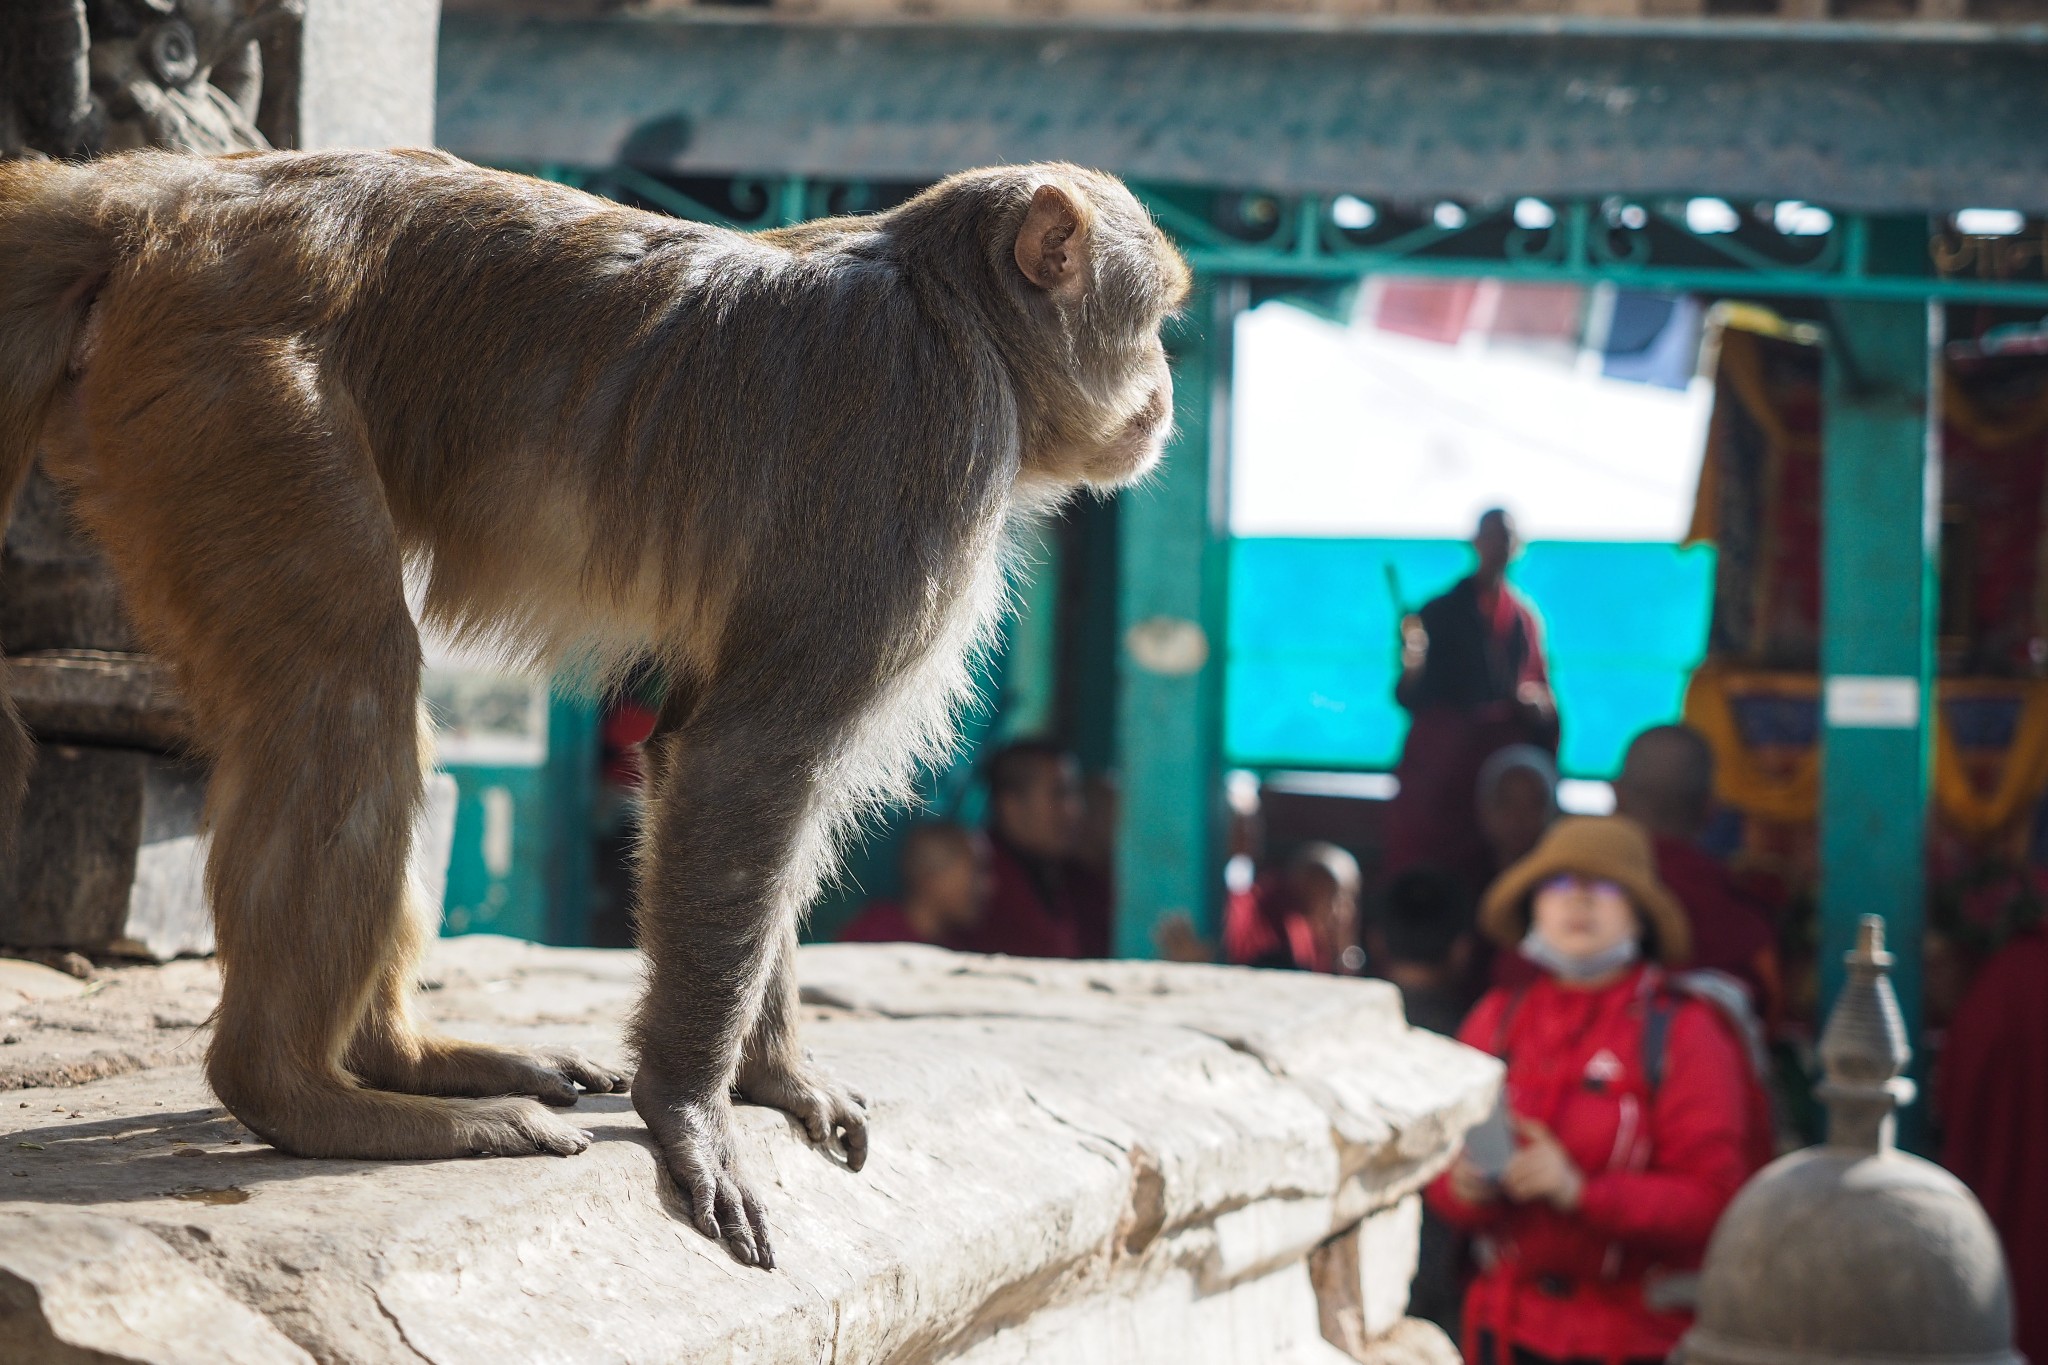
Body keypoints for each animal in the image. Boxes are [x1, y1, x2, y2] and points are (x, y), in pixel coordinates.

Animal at [0, 144, 1196, 1268]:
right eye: (1155, 319)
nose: (1166, 396)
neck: (963, 315)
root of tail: (163, 196)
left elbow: (704, 758)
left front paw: (773, 1077)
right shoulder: (924, 456)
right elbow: (748, 758)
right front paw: (691, 1113)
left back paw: (402, 1059)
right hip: (236, 390)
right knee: (346, 680)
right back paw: (306, 1095)